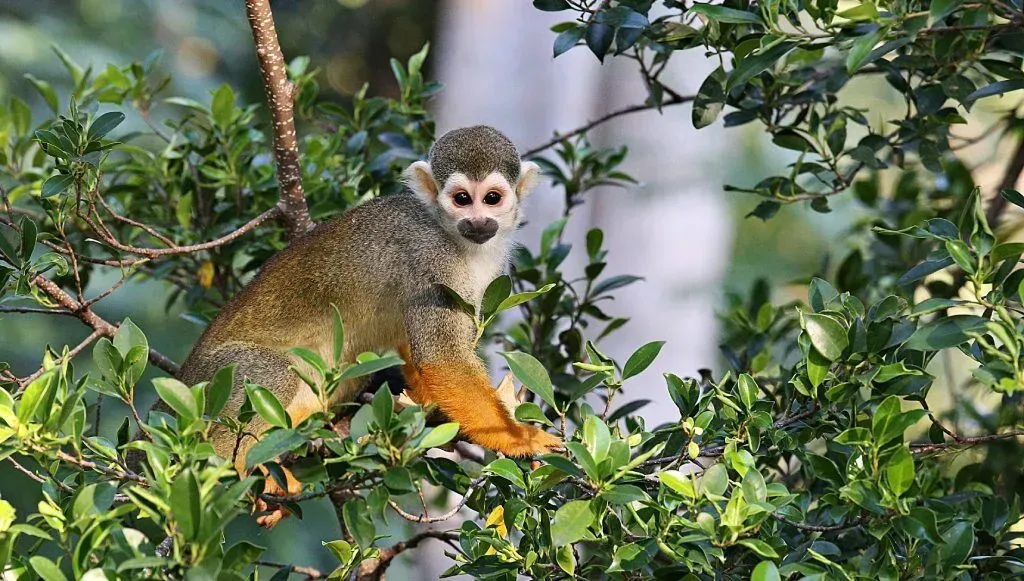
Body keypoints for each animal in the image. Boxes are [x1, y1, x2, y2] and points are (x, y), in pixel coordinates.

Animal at [147, 126, 561, 523]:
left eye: (491, 199)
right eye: (461, 199)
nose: (477, 221)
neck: (453, 236)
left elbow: (415, 344)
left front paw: (425, 404)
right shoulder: (430, 259)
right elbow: (442, 357)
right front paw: (516, 437)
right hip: (210, 384)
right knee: (272, 374)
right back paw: (237, 464)